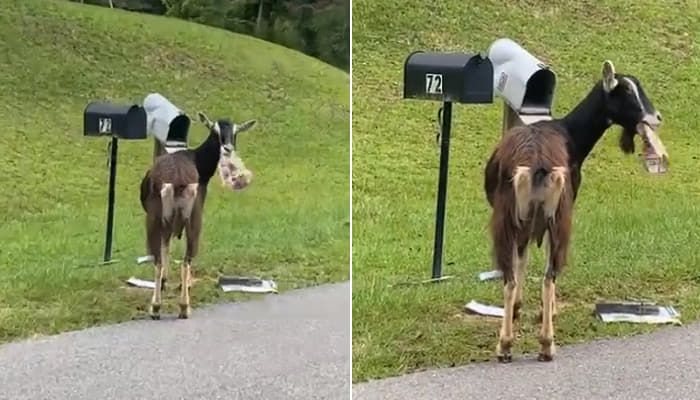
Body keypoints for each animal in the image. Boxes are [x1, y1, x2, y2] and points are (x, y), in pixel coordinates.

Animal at [139, 111, 258, 320]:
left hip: (165, 217)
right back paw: (174, 306)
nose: (227, 148)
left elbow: (165, 248)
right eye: (215, 131)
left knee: (167, 259)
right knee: (183, 258)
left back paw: (167, 307)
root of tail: (178, 181)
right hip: (188, 217)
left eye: (235, 131)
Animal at [482, 59, 668, 362]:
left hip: (520, 217)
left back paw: (523, 344)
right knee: (540, 273)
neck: (569, 134)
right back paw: (532, 343)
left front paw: (528, 308)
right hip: (545, 217)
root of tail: (538, 165)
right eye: (627, 92)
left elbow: (524, 260)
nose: (656, 118)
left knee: (524, 275)